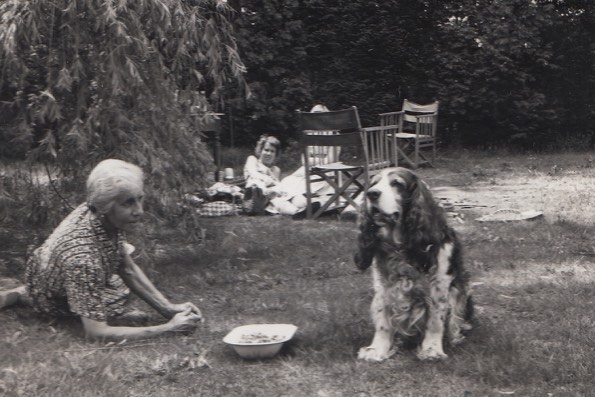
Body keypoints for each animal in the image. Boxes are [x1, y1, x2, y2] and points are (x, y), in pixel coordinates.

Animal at [354, 166, 474, 360]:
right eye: (373, 183)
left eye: (397, 183)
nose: (371, 194)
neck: (401, 245)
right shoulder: (383, 285)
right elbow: (383, 319)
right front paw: (377, 349)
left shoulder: (439, 284)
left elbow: (435, 320)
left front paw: (431, 349)